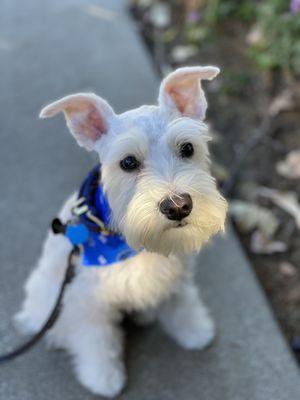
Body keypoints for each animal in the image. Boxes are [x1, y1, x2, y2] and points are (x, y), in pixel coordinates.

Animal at [12, 66, 226, 396]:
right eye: (128, 162)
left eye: (188, 148)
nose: (178, 206)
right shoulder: (89, 305)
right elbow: (97, 343)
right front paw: (104, 379)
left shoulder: (176, 276)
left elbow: (181, 303)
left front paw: (194, 330)